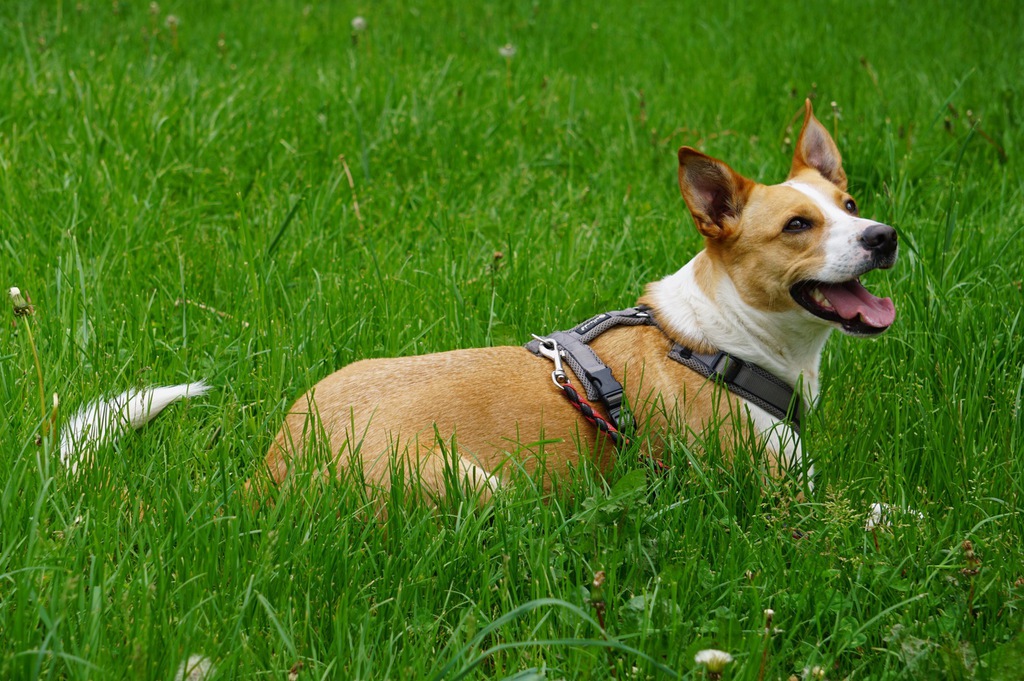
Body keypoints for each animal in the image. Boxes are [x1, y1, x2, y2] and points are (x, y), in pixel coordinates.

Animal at [61, 101, 897, 502]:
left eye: (850, 203)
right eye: (796, 226)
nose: (884, 236)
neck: (717, 341)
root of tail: (272, 470)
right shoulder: (780, 506)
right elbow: (878, 517)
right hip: (473, 484)